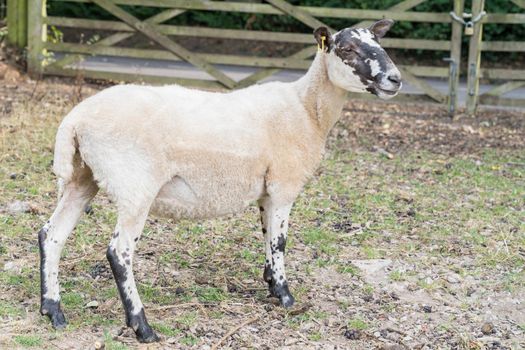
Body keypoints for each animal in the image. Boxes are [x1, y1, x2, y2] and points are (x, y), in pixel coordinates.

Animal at [39, 19, 402, 342]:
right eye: (348, 49)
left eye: (380, 43)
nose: (395, 79)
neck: (306, 109)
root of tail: (74, 120)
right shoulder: (284, 184)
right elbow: (280, 241)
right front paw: (286, 297)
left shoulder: (266, 191)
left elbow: (267, 236)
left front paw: (271, 283)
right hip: (134, 186)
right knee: (119, 252)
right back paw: (142, 327)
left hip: (83, 177)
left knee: (51, 235)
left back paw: (53, 310)